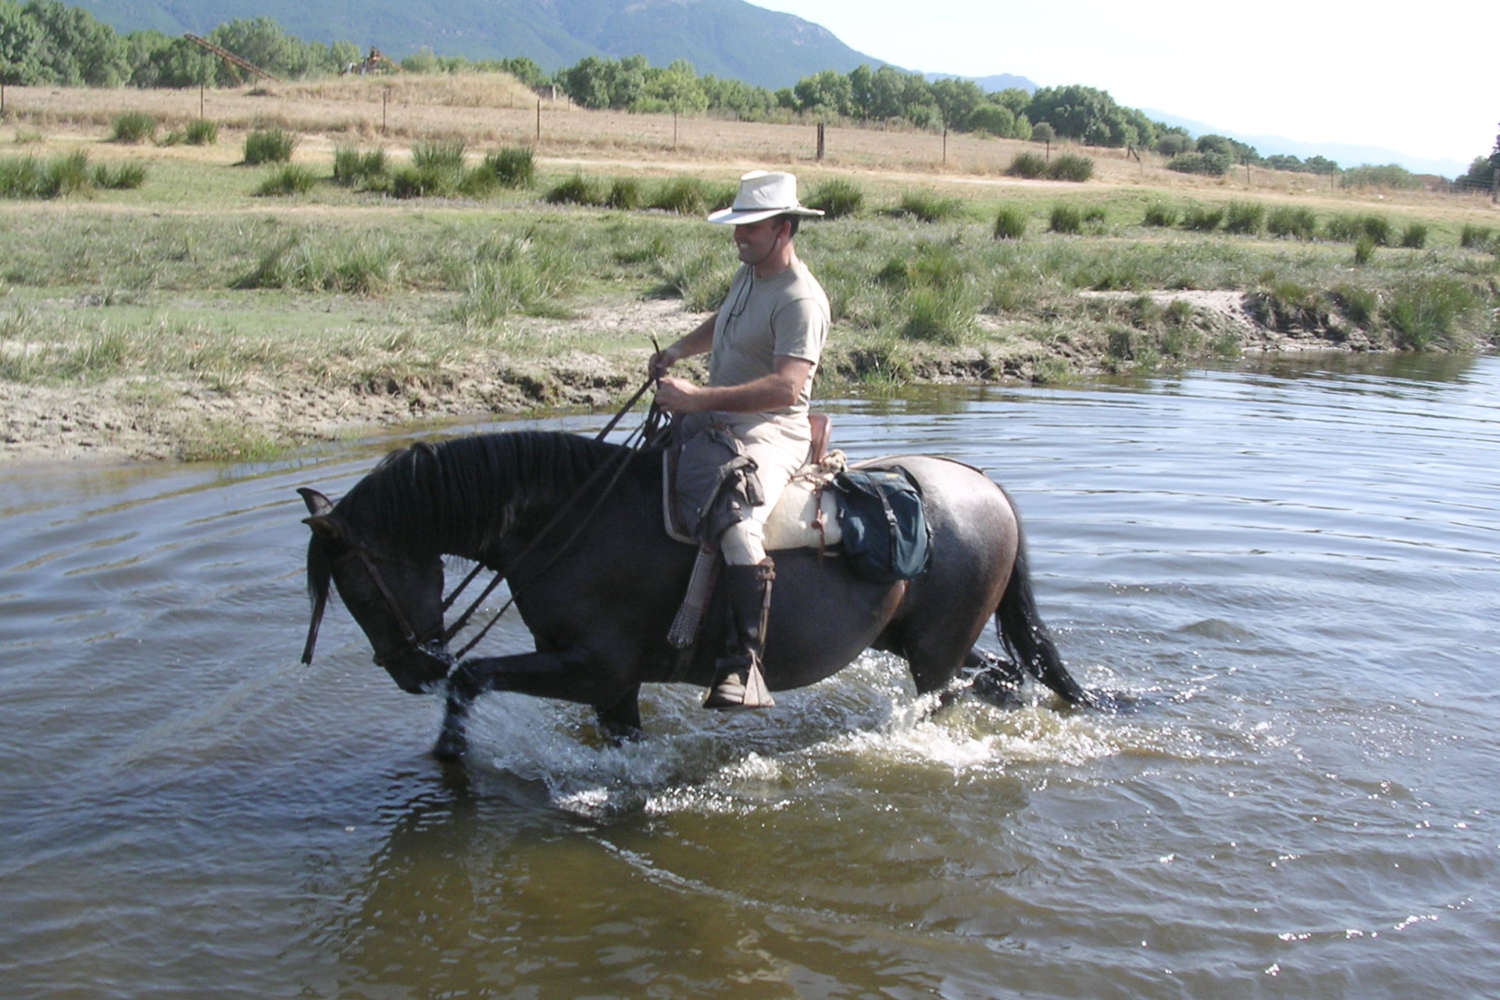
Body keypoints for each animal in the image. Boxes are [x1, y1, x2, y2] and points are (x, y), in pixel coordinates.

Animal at [298, 431, 1092, 758]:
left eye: (356, 586)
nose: (409, 672)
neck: (569, 518)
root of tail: (988, 488)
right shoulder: (608, 684)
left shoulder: (594, 668)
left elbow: (469, 678)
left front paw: (449, 756)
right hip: (920, 644)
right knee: (1000, 673)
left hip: (933, 655)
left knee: (957, 692)